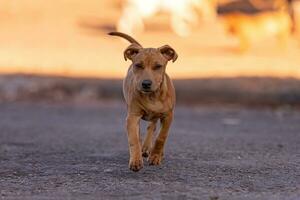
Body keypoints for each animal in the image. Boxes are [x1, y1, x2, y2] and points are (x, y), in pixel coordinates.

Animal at [108, 31, 177, 172]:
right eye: (138, 65)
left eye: (158, 66)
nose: (146, 83)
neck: (152, 96)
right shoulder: (132, 117)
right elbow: (134, 139)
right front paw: (136, 160)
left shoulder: (168, 116)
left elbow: (161, 137)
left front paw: (155, 156)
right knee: (146, 129)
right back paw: (143, 148)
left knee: (153, 126)